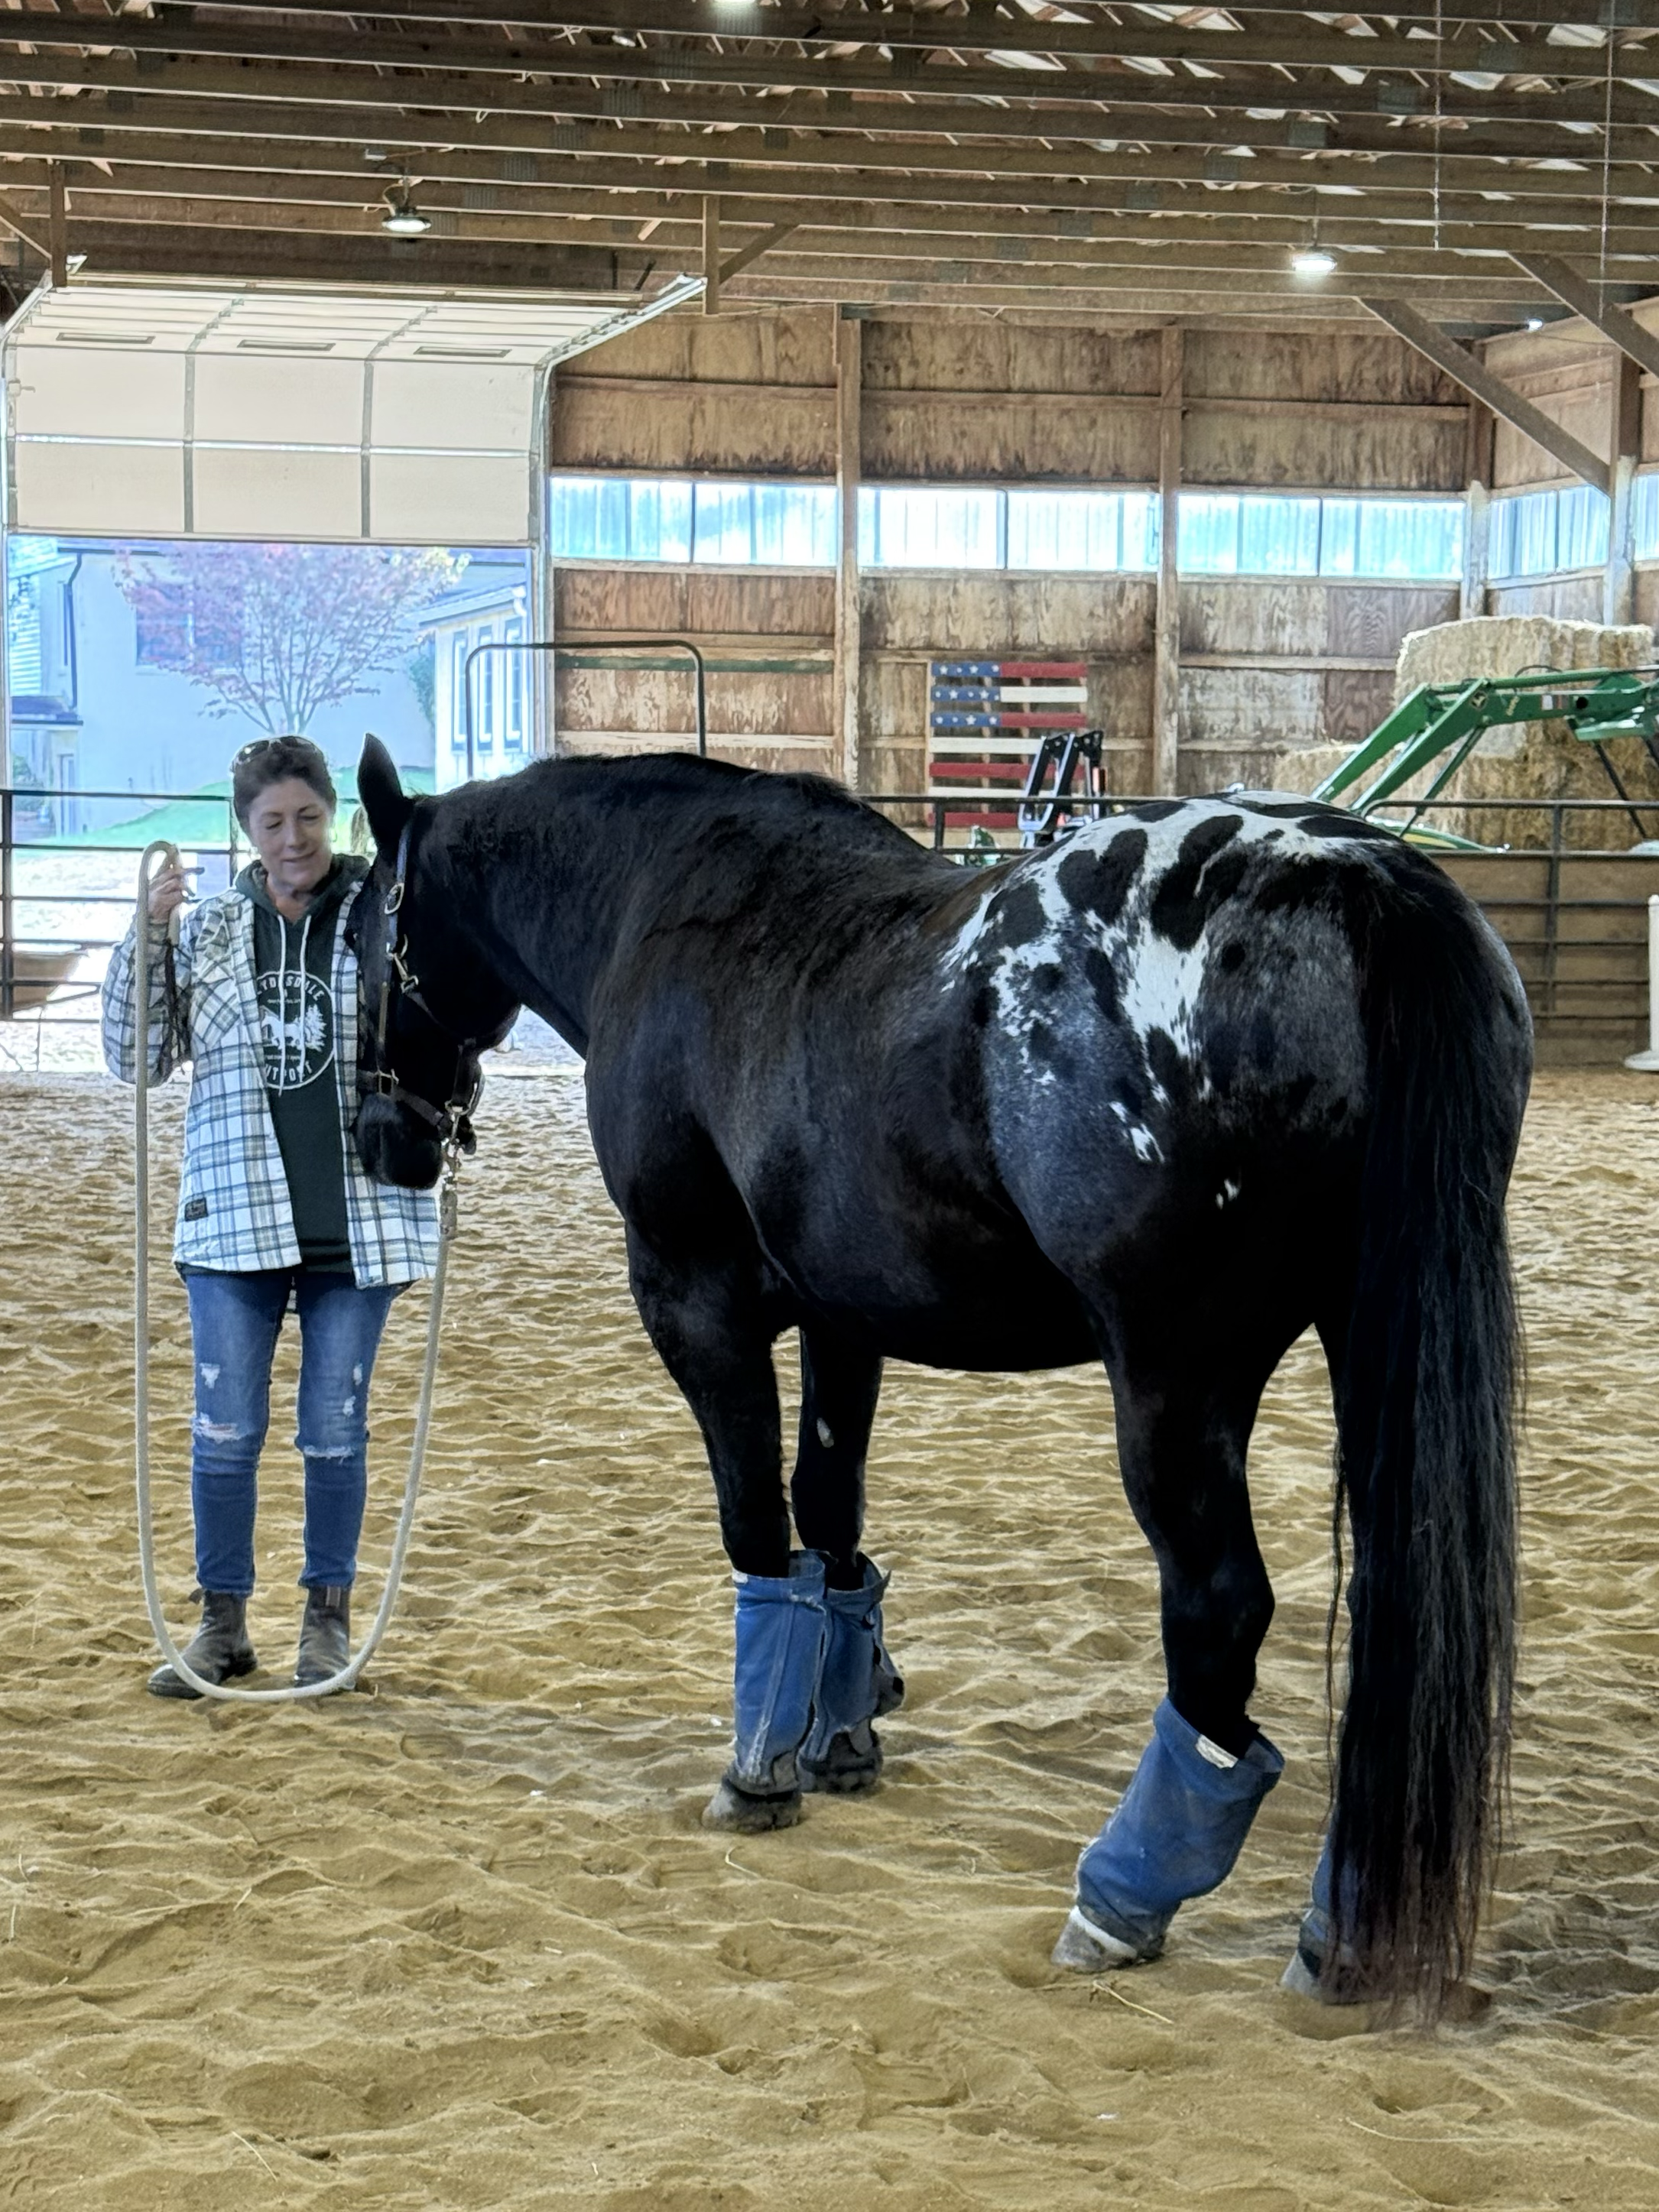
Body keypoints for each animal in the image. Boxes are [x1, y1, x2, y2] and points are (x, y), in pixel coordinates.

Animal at [348, 733, 1530, 2018]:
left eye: (357, 936)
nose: (381, 1138)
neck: (666, 910)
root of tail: (1357, 878)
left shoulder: (691, 1300)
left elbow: (755, 1528)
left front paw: (757, 1767)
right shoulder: (841, 1315)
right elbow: (830, 1519)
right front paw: (839, 1733)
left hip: (1175, 1374)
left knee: (1221, 1612)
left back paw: (1122, 1897)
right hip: (1367, 1335)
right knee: (1388, 1604)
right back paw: (1338, 1925)